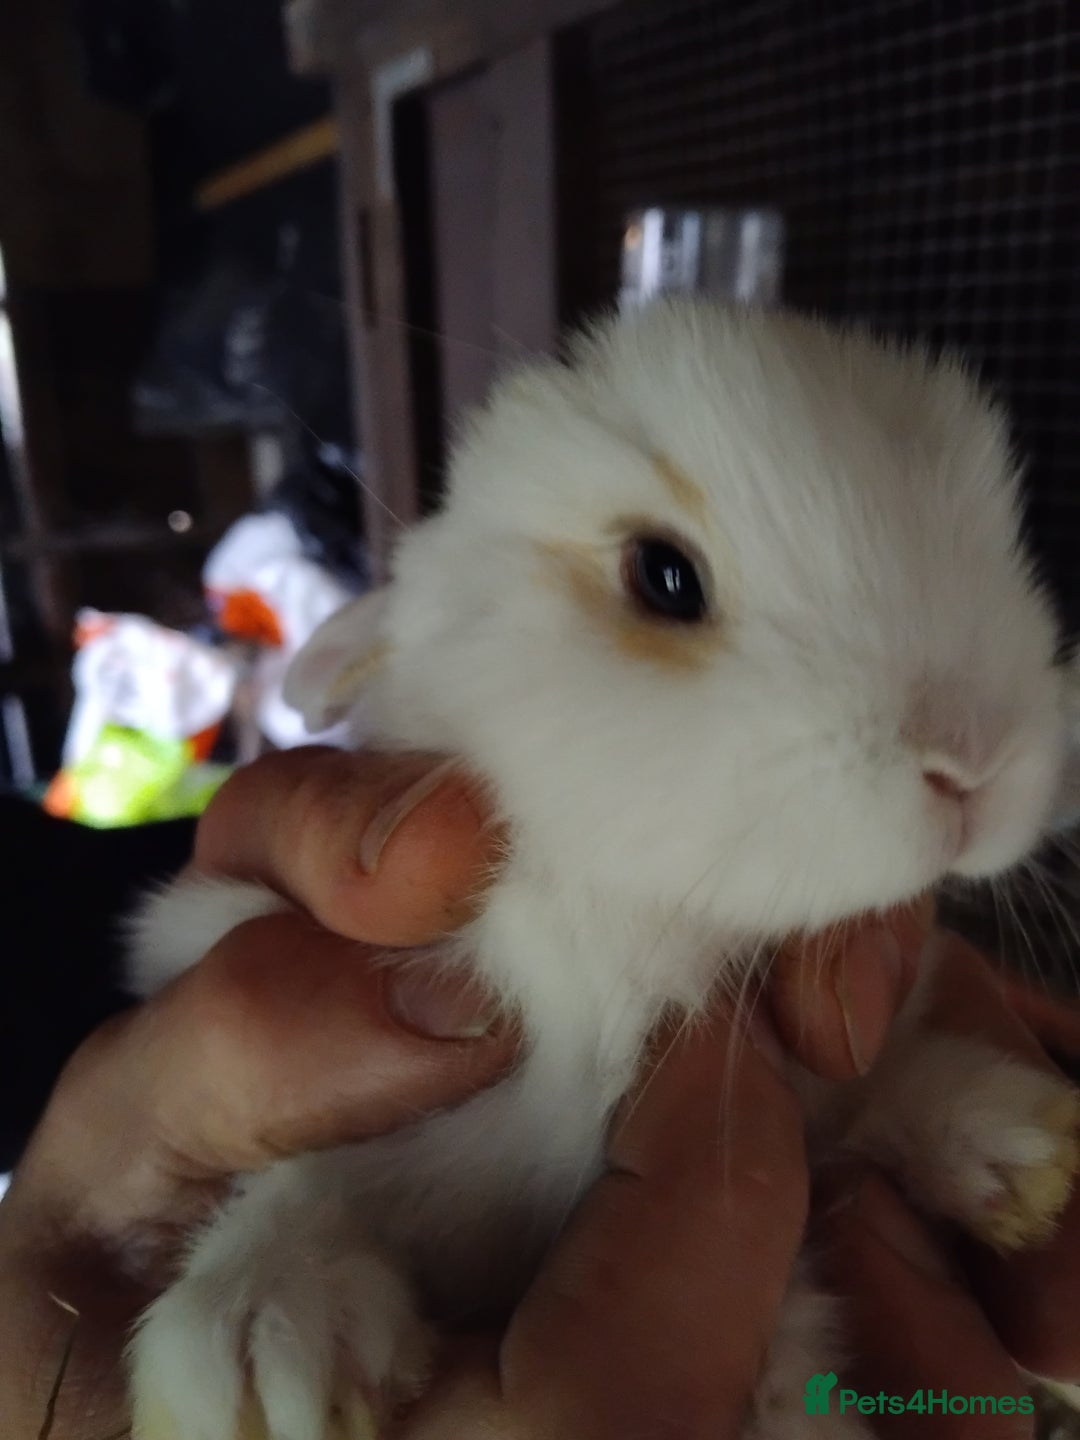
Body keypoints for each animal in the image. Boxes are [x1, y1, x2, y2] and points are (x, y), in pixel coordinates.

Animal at [126, 299, 1080, 1440]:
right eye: (665, 578)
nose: (975, 761)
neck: (649, 931)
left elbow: (869, 1100)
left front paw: (1018, 1151)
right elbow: (299, 1180)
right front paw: (264, 1344)